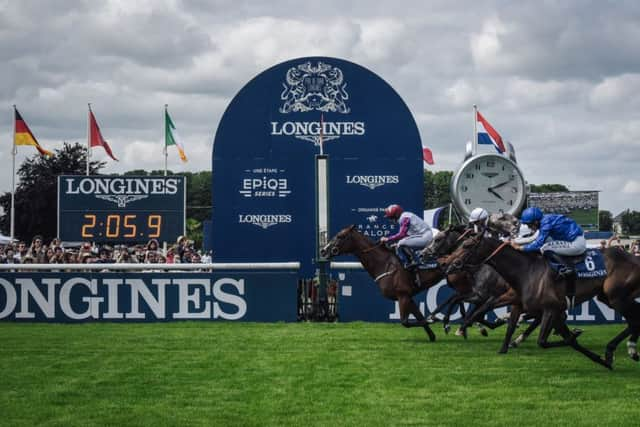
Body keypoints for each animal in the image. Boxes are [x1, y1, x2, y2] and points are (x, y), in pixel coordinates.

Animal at [442, 232, 640, 370]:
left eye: (467, 245)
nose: (448, 265)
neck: (526, 271)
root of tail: (633, 257)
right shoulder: (525, 305)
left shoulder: (551, 309)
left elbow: (545, 341)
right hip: (610, 297)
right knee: (635, 318)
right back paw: (624, 348)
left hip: (617, 297)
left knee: (634, 319)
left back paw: (622, 348)